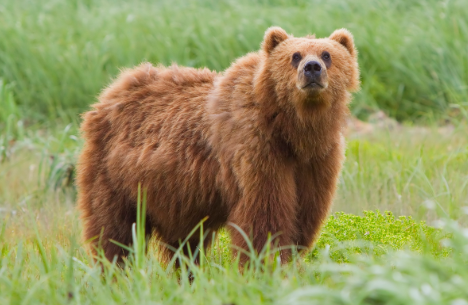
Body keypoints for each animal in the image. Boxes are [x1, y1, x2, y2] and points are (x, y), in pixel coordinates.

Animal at [77, 26, 358, 264]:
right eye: (295, 56)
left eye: (327, 54)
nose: (312, 68)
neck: (293, 131)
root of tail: (111, 91)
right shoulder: (256, 150)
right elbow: (264, 217)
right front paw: (265, 263)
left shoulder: (317, 161)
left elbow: (304, 216)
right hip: (115, 175)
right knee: (114, 231)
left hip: (175, 196)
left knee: (184, 244)